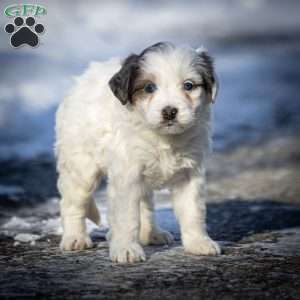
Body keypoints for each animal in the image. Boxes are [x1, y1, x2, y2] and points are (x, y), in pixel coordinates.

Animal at [55, 41, 220, 262]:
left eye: (188, 85)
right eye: (149, 87)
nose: (169, 111)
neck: (163, 138)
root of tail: (80, 81)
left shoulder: (189, 174)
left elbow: (193, 211)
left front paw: (199, 243)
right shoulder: (127, 175)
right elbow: (127, 217)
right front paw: (126, 249)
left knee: (145, 204)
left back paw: (151, 234)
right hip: (81, 167)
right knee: (72, 203)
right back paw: (75, 238)